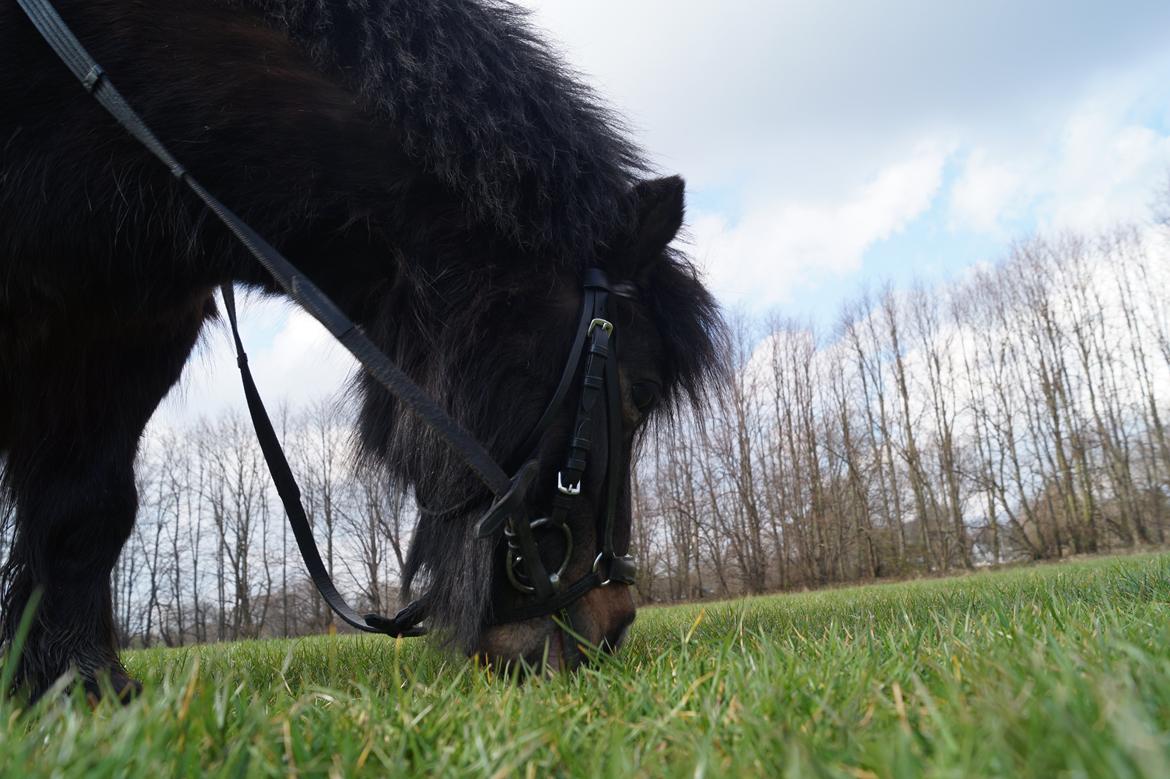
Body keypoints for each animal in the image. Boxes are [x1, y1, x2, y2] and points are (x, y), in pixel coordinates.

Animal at [0, 0, 720, 697]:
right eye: (641, 391)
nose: (614, 628)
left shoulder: (133, 328)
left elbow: (86, 505)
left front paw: (74, 680)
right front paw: (81, 681)